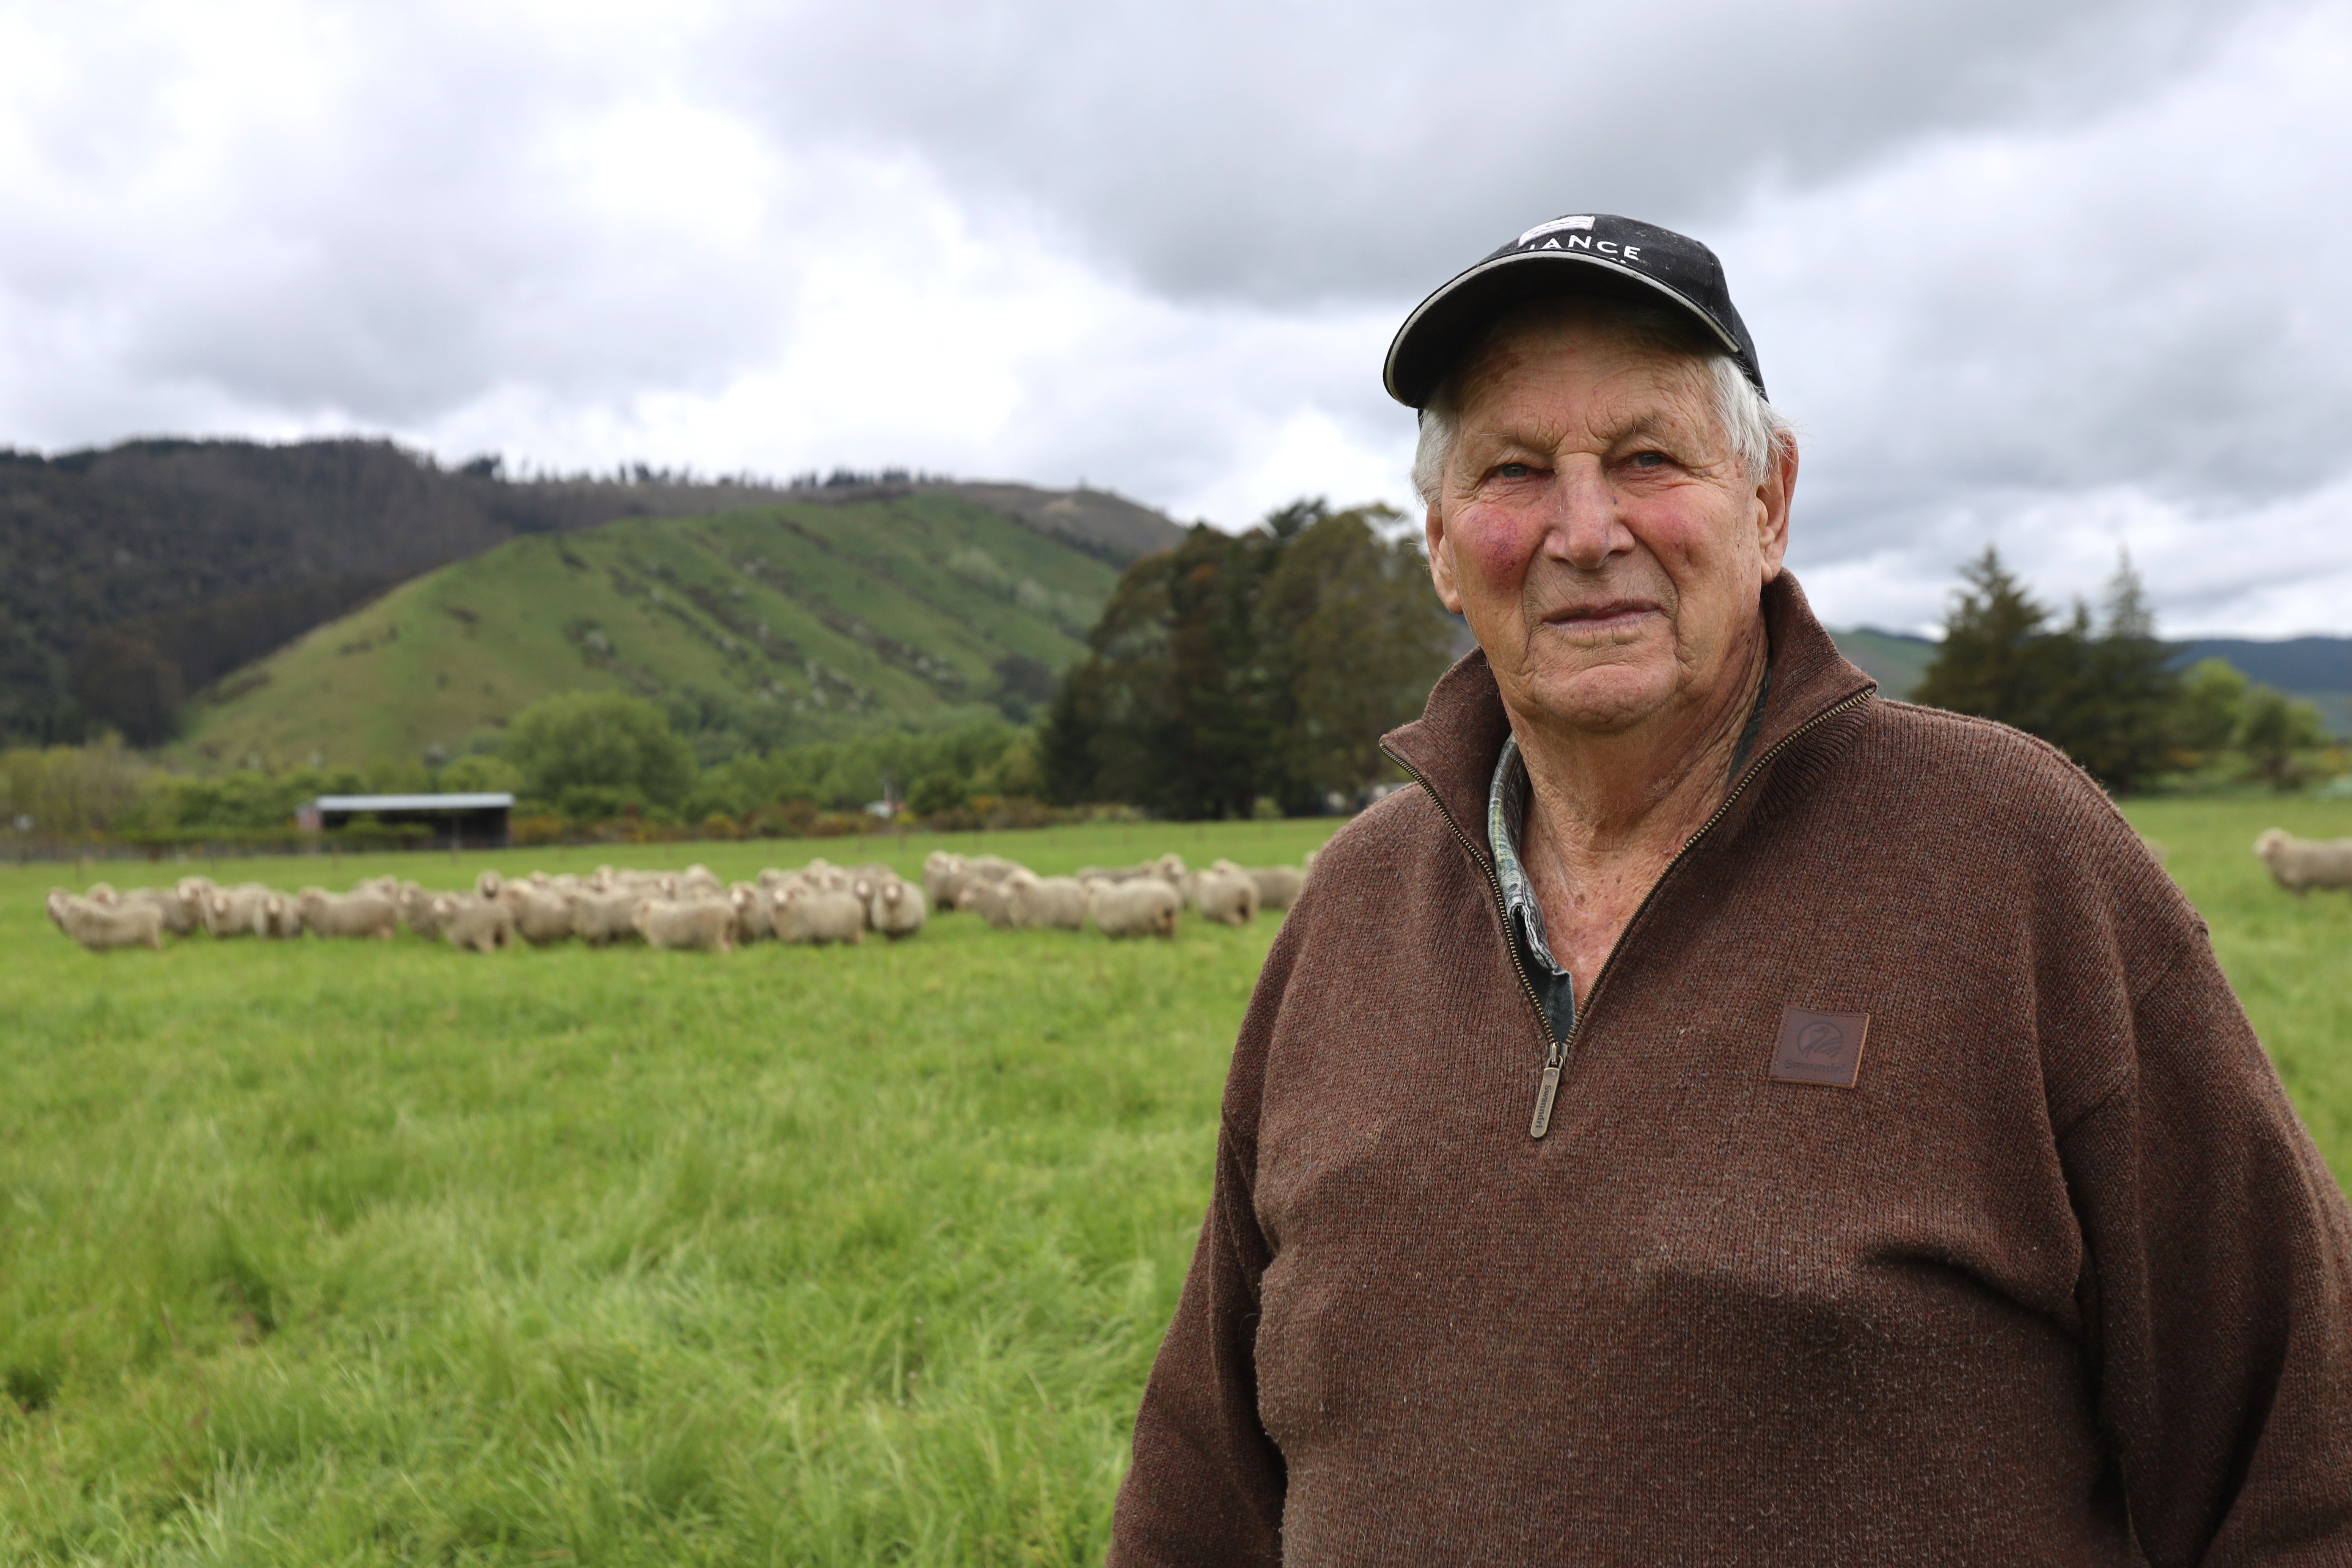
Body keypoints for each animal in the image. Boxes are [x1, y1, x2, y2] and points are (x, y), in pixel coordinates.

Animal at [298, 887, 398, 939]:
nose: (299, 912)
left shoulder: (327, 933)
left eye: (307, 900)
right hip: (386, 925)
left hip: (380, 925)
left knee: (388, 937)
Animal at [440, 896, 515, 953]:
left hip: (484, 932)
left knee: (489, 947)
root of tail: (500, 916)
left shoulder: (460, 939)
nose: (437, 909)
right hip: (505, 929)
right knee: (507, 942)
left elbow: (462, 949)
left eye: (447, 903)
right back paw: (507, 950)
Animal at [635, 897, 737, 952]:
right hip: (729, 934)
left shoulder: (659, 943)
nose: (634, 922)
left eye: (638, 911)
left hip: (715, 938)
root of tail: (730, 915)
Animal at [775, 883, 865, 946]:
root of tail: (855, 899)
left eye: (788, 894)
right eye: (775, 895)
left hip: (852, 932)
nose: (778, 901)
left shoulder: (805, 935)